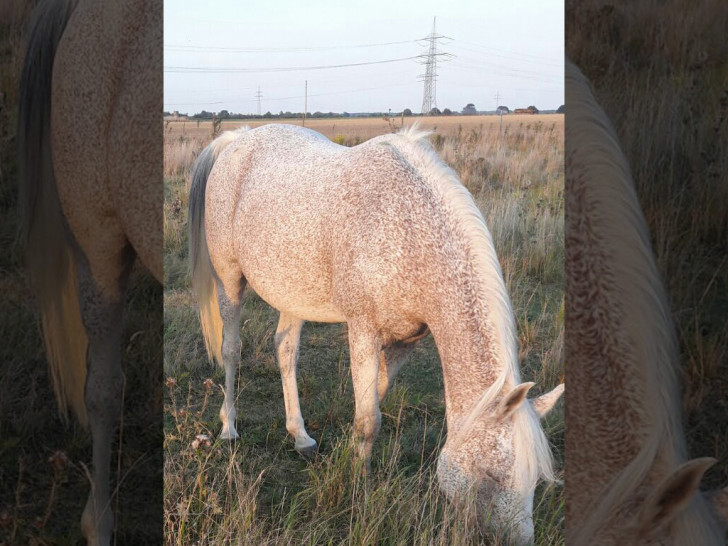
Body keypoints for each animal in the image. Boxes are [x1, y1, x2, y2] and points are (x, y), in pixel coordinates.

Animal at [188, 123, 564, 540]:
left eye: (535, 481)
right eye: (491, 474)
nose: (520, 541)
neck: (410, 230)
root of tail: (237, 138)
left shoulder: (406, 341)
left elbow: (372, 403)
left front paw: (350, 461)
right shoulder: (363, 331)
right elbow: (369, 420)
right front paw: (358, 488)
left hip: (294, 295)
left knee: (285, 350)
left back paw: (300, 436)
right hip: (230, 281)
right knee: (232, 349)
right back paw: (229, 426)